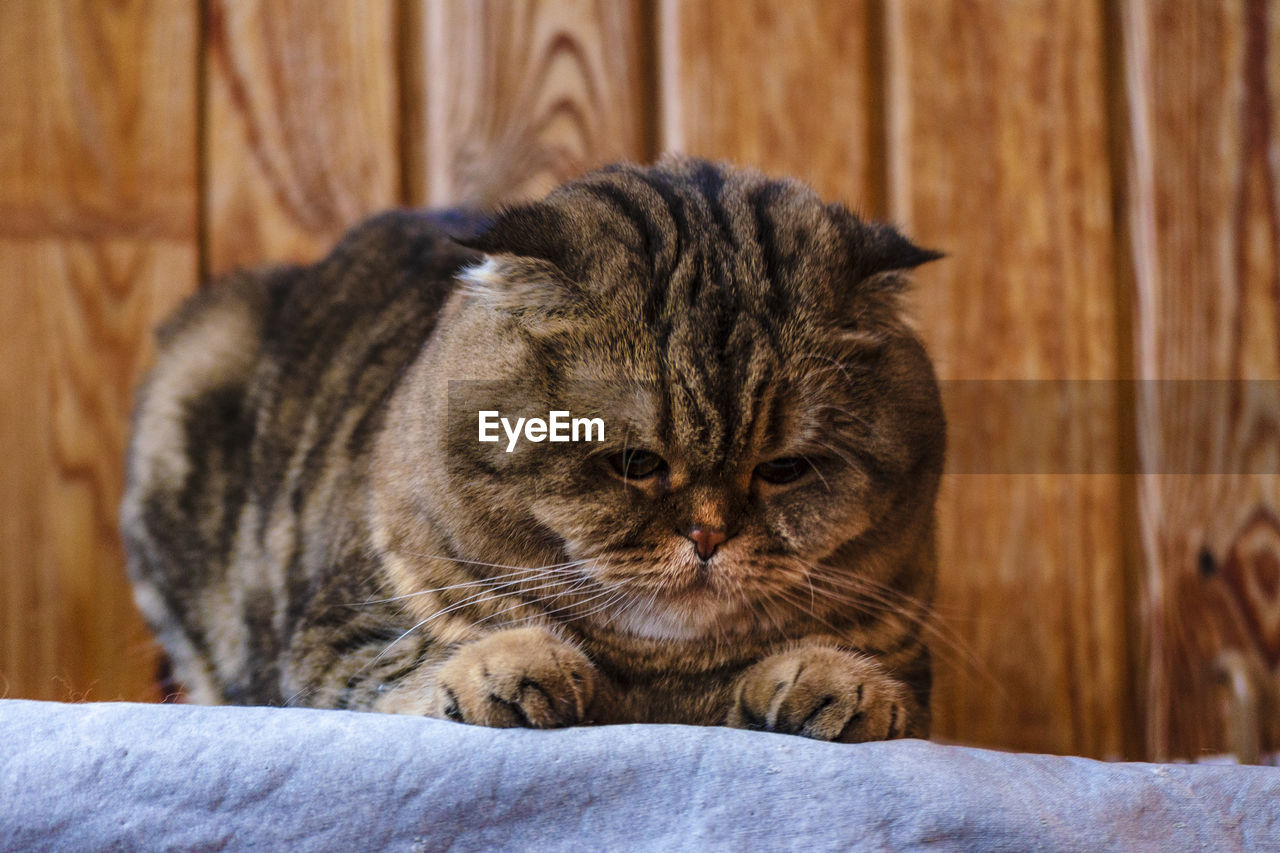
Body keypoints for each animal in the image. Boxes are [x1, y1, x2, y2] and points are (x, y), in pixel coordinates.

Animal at [120, 156, 947, 742]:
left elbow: (871, 680)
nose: (709, 535)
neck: (663, 681)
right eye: (636, 462)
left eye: (782, 468)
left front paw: (833, 681)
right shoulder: (336, 633)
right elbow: (416, 663)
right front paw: (517, 665)